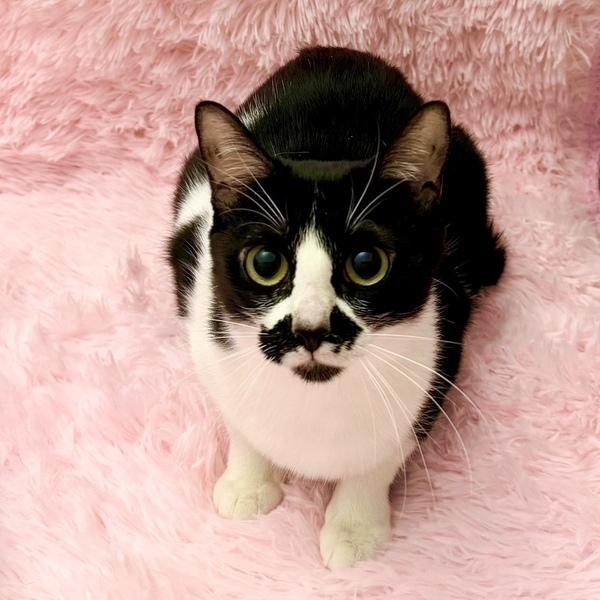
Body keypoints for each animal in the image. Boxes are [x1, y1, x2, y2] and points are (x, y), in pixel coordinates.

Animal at [168, 46, 505, 569]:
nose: (309, 329)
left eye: (367, 264)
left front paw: (354, 529)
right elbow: (239, 419)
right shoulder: (206, 329)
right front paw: (248, 484)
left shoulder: (441, 345)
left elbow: (382, 455)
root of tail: (332, 53)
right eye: (265, 263)